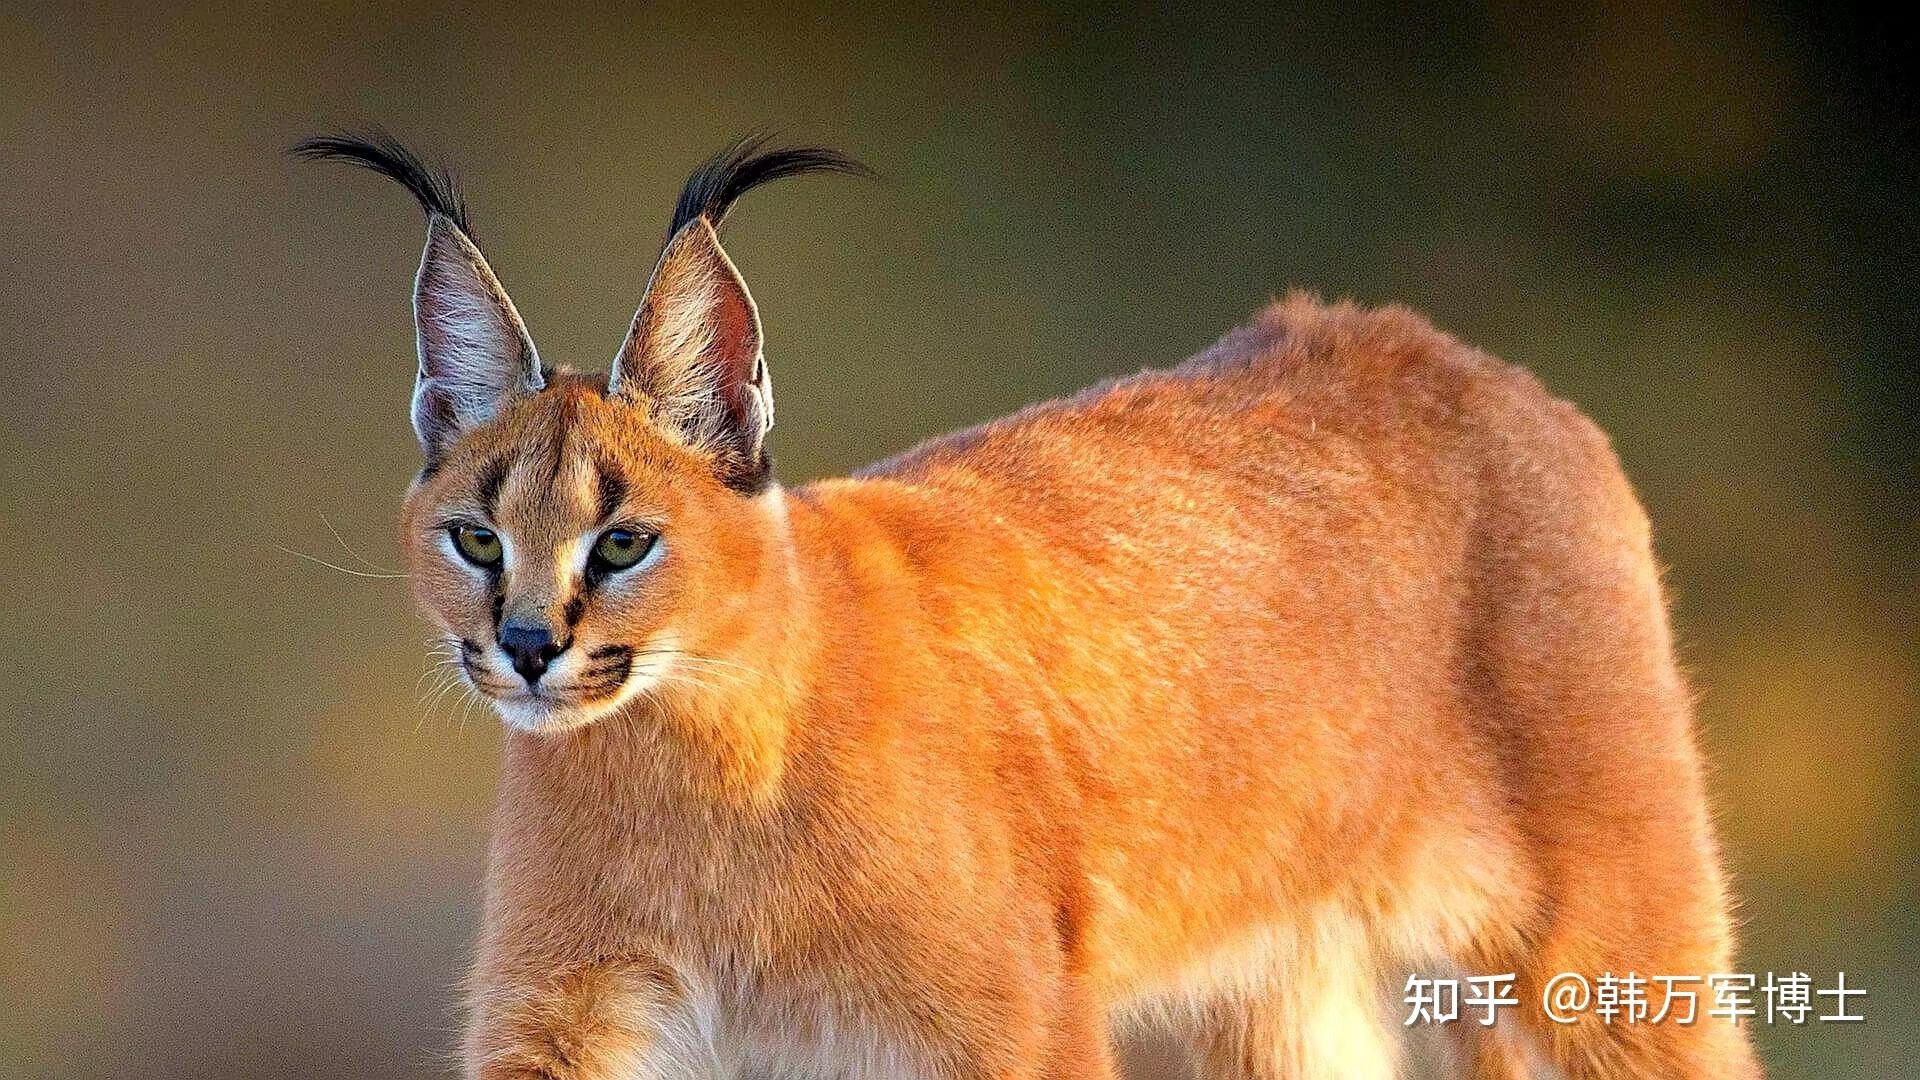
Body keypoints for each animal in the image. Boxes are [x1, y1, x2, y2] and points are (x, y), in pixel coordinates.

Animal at [295, 134, 1758, 1076]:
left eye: (623, 542)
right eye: (475, 537)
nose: (527, 647)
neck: (690, 766)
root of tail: (1443, 348)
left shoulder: (1010, 1020)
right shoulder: (569, 1016)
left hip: (1605, 960)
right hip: (1292, 987)